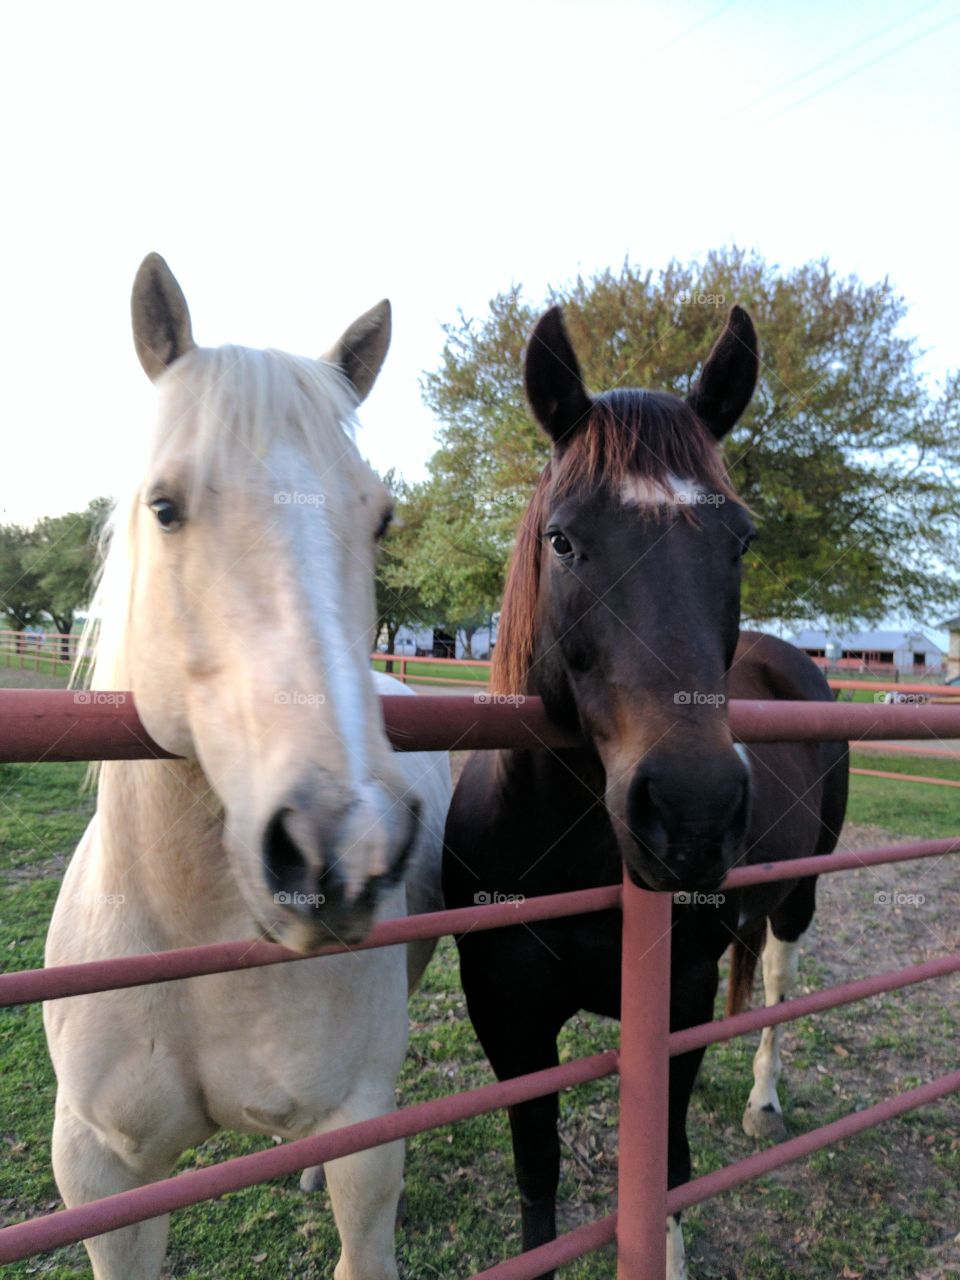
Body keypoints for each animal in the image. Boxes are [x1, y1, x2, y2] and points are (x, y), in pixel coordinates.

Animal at [442, 304, 849, 1274]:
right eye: (563, 539)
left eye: (741, 539)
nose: (692, 815)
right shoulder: (508, 1019)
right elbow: (539, 1182)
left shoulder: (679, 994)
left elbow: (665, 1165)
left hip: (801, 891)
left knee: (778, 979)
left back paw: (763, 1101)